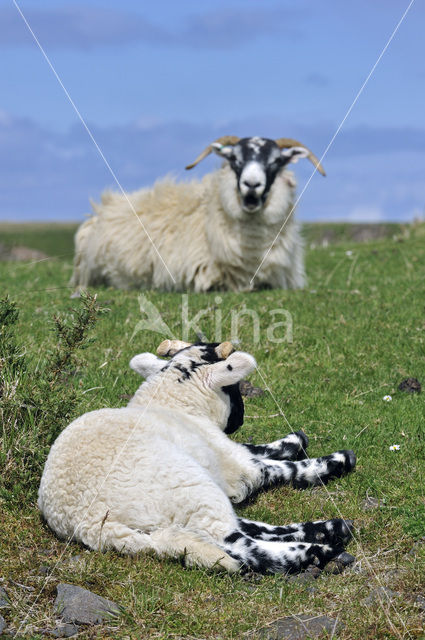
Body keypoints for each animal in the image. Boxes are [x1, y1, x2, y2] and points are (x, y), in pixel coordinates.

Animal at [37, 340, 354, 576]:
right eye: (233, 387)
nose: (239, 420)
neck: (174, 405)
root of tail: (88, 524)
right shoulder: (235, 467)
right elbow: (280, 468)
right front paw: (336, 460)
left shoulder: (223, 448)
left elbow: (258, 448)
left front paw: (296, 439)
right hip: (187, 487)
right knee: (238, 542)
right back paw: (316, 551)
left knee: (239, 528)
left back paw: (330, 529)